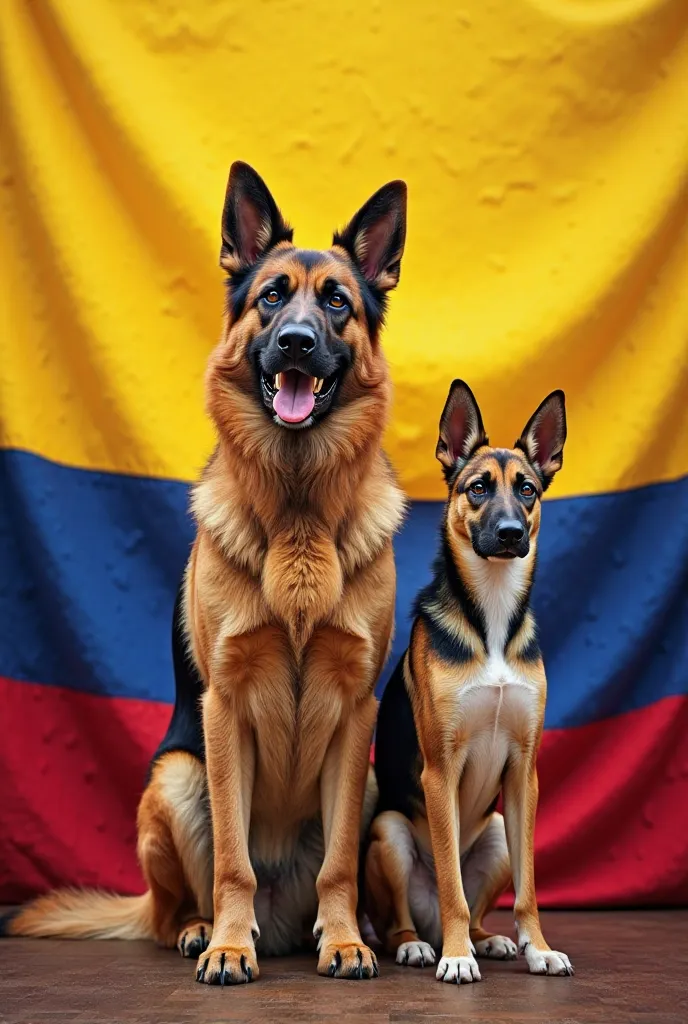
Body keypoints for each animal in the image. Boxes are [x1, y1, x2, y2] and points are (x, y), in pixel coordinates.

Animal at [2, 165, 405, 983]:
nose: (295, 342)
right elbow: (232, 860)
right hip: (176, 777)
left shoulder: (357, 713)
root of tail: (281, 922)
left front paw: (345, 940)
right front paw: (226, 945)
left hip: (371, 780)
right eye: (272, 296)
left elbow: (339, 864)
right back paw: (203, 929)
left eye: (337, 302)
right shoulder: (222, 710)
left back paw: (329, 932)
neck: (297, 509)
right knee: (171, 909)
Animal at [364, 378, 573, 983]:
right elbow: (451, 884)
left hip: (500, 832)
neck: (493, 614)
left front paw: (538, 948)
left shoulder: (525, 773)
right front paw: (457, 959)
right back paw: (426, 945)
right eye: (477, 488)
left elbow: (529, 890)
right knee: (404, 919)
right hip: (388, 832)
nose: (509, 533)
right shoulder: (440, 770)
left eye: (527, 490)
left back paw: (486, 939)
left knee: (479, 905)